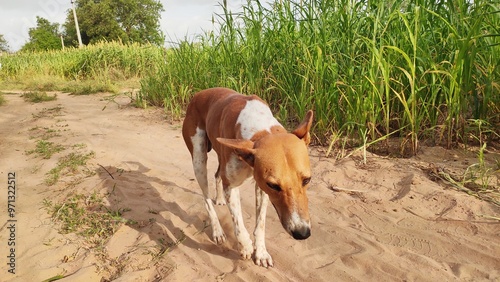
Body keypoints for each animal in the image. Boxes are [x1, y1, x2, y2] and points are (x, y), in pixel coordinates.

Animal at [180, 87, 312, 268]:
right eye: (274, 185)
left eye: (307, 180)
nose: (302, 233)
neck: (261, 129)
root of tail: (199, 94)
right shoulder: (234, 186)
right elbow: (238, 222)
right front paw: (245, 246)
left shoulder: (261, 188)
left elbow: (260, 224)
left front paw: (261, 252)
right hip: (199, 160)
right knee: (206, 199)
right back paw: (217, 230)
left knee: (217, 175)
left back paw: (219, 199)